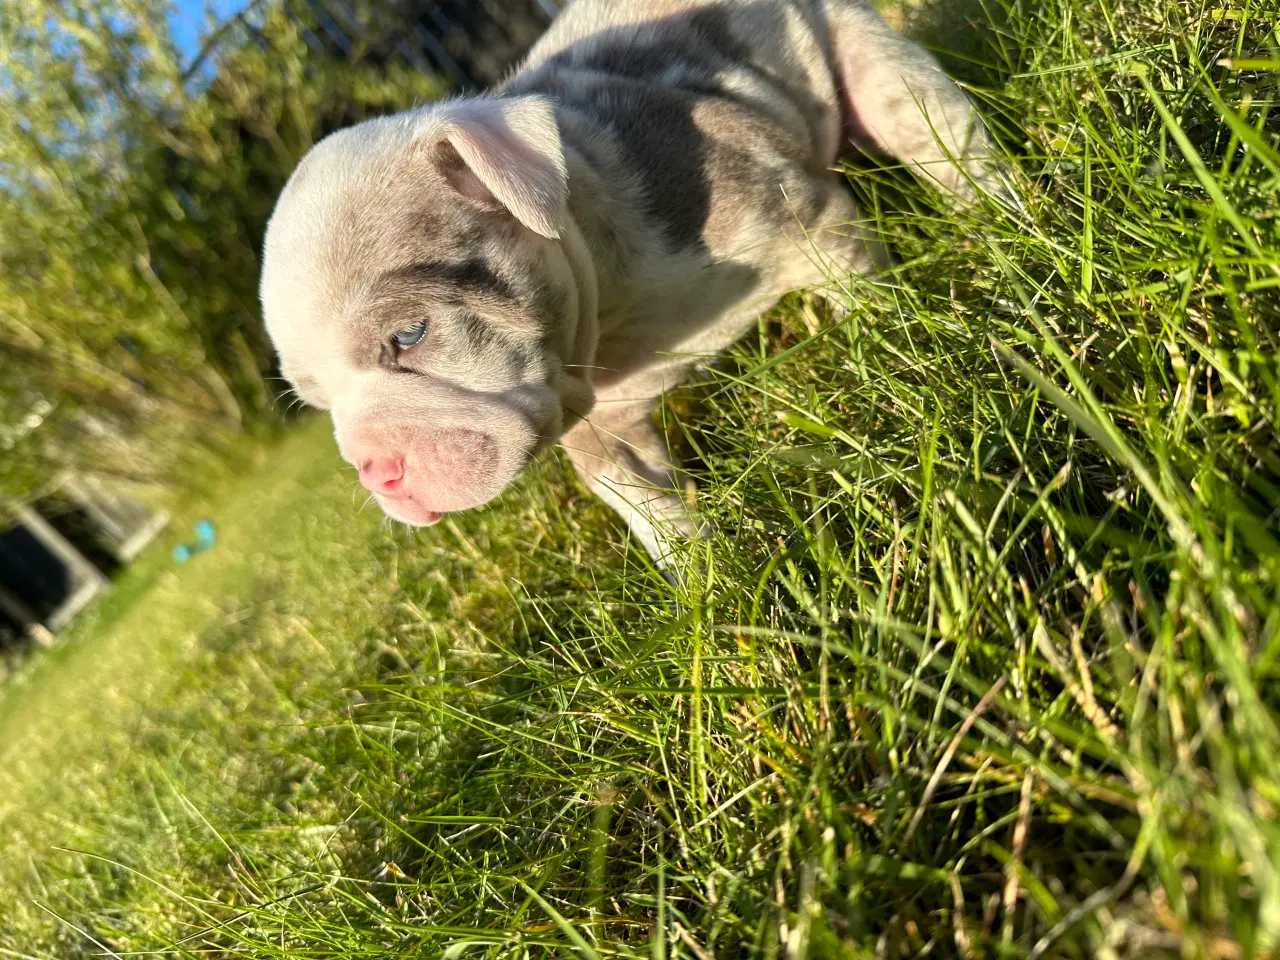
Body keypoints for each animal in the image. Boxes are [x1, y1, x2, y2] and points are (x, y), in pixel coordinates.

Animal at [259, 0, 998, 568]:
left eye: (409, 335)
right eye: (316, 402)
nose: (374, 470)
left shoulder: (809, 221)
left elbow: (868, 299)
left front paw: (898, 357)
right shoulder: (596, 425)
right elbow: (643, 504)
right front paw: (710, 581)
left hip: (879, 71)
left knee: (944, 142)